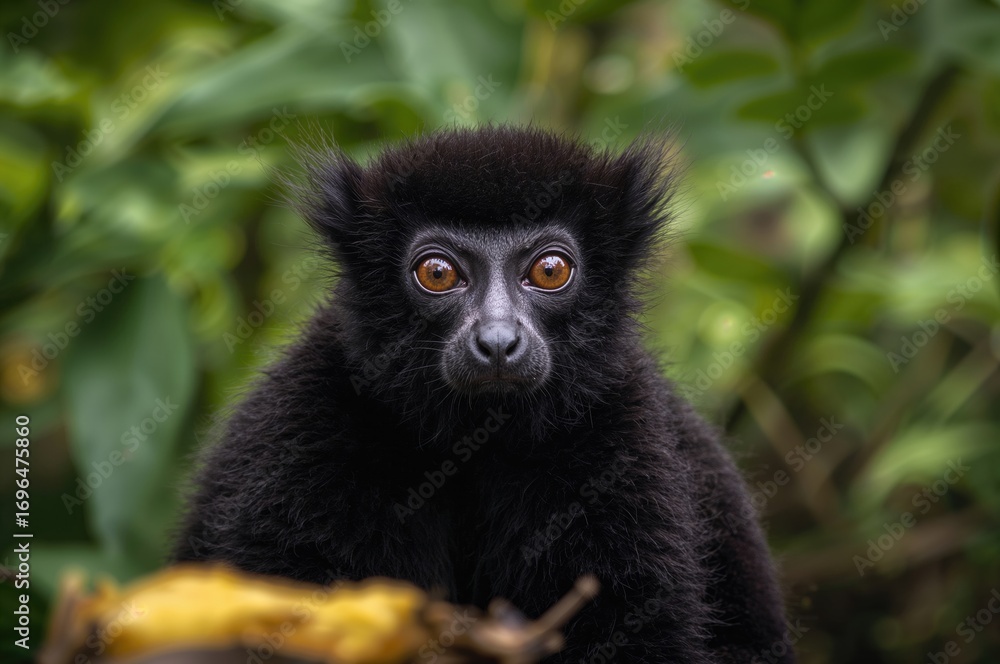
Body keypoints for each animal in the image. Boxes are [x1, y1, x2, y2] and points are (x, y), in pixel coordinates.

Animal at [173, 126, 795, 663]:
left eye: (550, 270)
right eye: (438, 274)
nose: (498, 341)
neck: (476, 437)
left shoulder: (619, 433)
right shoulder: (304, 430)